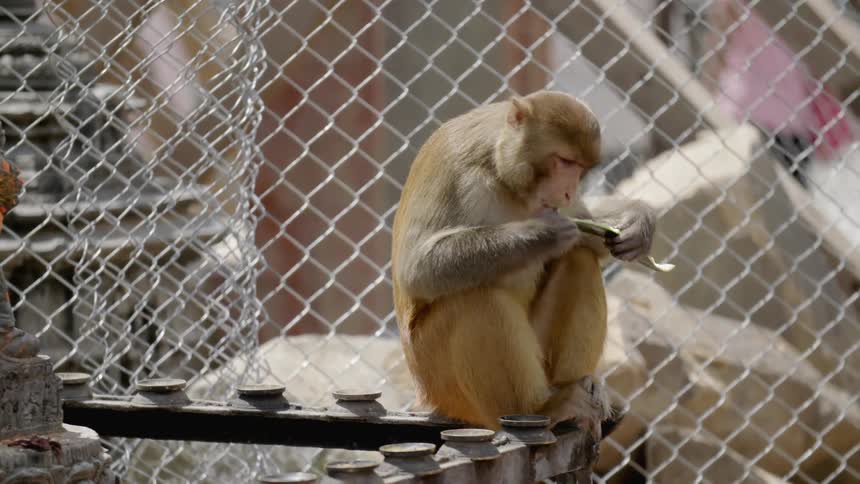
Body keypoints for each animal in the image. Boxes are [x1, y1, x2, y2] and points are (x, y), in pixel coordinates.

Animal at [391, 90, 656, 438]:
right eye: (564, 161)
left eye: (580, 168)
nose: (568, 191)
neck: (498, 168)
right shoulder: (458, 174)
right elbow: (417, 270)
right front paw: (542, 233)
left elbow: (585, 230)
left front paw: (637, 223)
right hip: (440, 380)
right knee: (477, 299)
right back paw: (539, 409)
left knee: (578, 258)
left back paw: (573, 395)